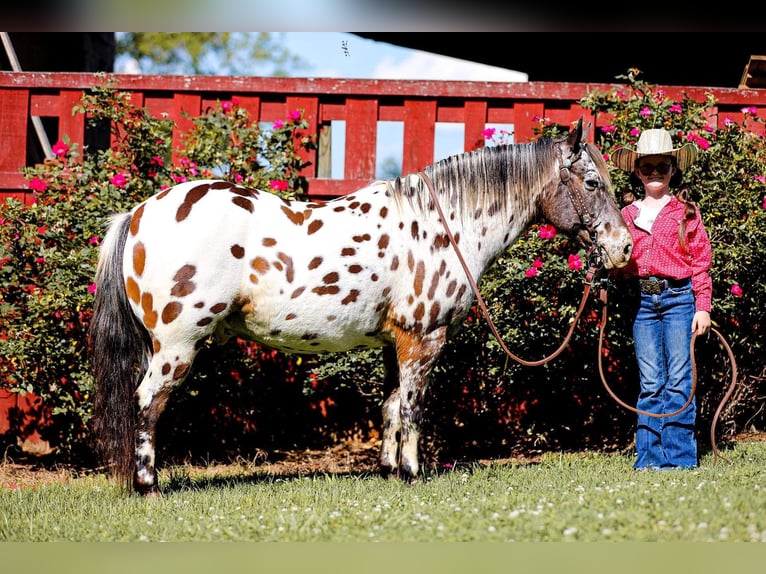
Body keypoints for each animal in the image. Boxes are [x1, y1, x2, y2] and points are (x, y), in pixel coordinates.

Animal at [90, 120, 632, 496]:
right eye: (591, 183)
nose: (624, 247)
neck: (442, 225)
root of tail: (138, 213)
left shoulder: (396, 341)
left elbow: (391, 405)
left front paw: (390, 471)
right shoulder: (423, 338)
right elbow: (413, 406)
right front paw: (411, 473)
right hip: (177, 345)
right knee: (147, 403)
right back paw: (147, 486)